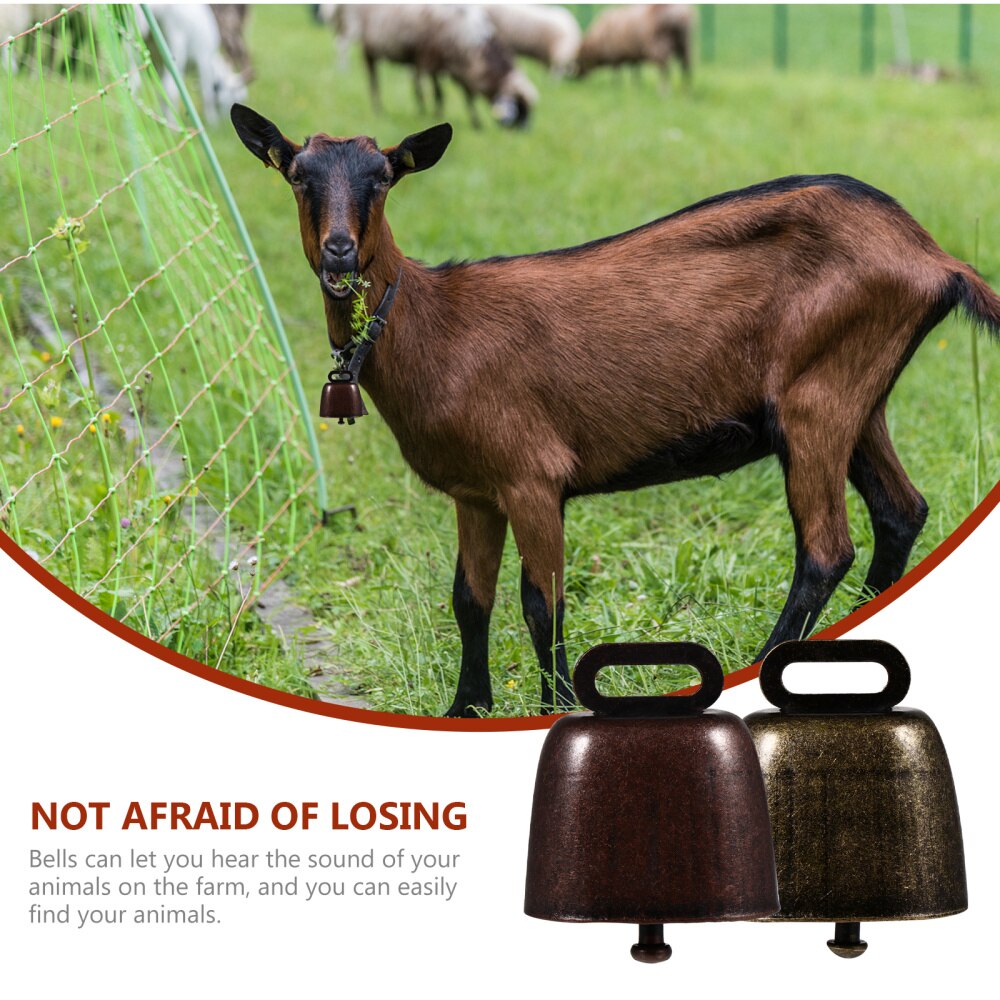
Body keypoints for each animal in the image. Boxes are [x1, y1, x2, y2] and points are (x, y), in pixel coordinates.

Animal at [231, 104, 1000, 717]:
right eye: (297, 175)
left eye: (383, 178)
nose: (339, 252)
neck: (435, 325)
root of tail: (937, 258)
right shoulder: (476, 491)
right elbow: (469, 599)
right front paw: (464, 708)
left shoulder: (532, 476)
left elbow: (541, 602)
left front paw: (557, 708)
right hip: (857, 396)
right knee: (900, 509)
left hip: (817, 400)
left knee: (825, 548)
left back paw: (768, 659)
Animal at [333, 5, 537, 128]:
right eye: (520, 107)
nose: (524, 133)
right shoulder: (434, 61)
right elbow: (440, 95)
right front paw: (437, 115)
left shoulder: (458, 69)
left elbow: (468, 97)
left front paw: (476, 124)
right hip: (370, 44)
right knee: (373, 80)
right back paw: (378, 109)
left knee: (416, 85)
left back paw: (419, 108)